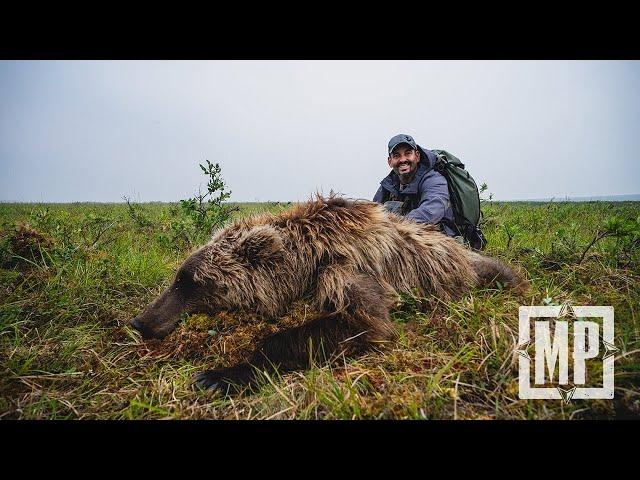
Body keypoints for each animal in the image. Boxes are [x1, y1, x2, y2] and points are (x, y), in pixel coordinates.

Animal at [129, 196, 524, 394]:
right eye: (179, 277)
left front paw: (219, 375)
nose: (140, 322)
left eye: (190, 282)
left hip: (471, 269)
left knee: (501, 274)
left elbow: (368, 322)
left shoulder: (342, 269)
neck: (307, 256)